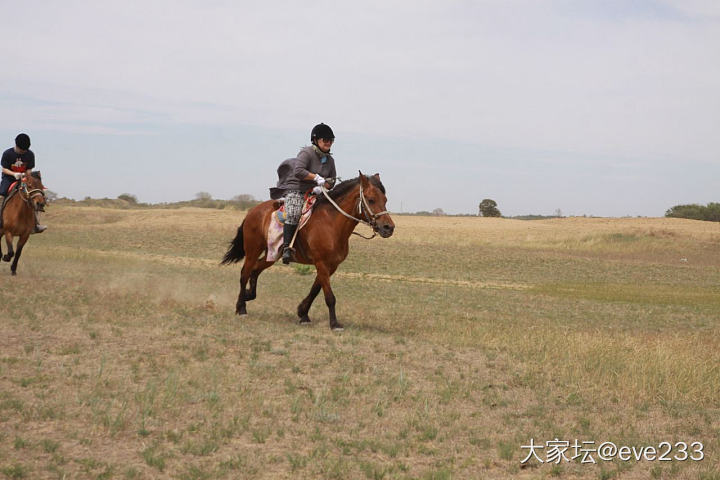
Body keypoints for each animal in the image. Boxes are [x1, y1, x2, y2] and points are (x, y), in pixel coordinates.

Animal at [224, 172, 396, 330]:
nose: (389, 227)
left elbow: (315, 290)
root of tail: (252, 211)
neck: (331, 223)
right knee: (244, 273)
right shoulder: (321, 263)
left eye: (385, 200)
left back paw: (248, 295)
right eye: (371, 199)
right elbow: (329, 296)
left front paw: (303, 313)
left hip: (271, 254)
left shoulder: (331, 266)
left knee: (255, 270)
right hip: (253, 250)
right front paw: (334, 323)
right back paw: (241, 308)